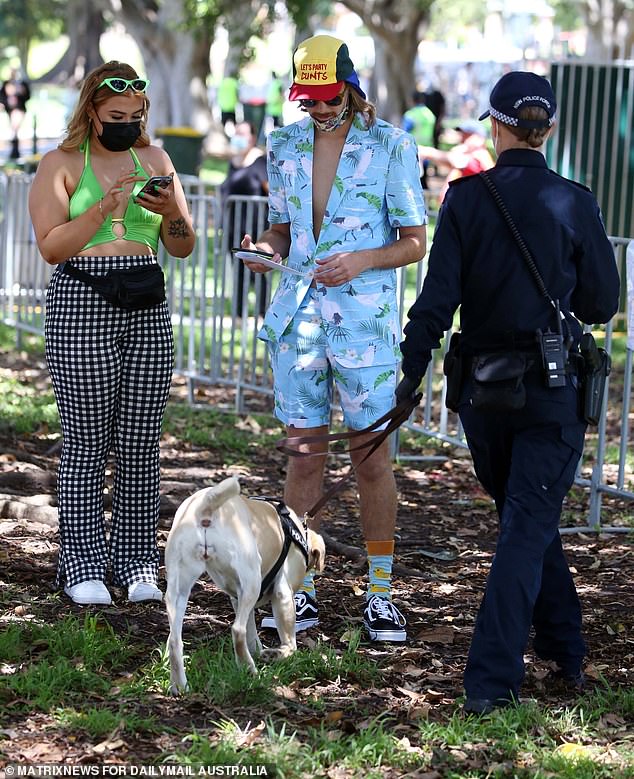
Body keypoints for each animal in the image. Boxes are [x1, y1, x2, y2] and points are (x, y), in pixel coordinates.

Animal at [163, 476, 326, 696]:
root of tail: (207, 506)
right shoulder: (282, 594)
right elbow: (289, 643)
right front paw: (278, 654)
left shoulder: (237, 596)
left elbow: (251, 630)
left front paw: (258, 650)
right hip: (252, 580)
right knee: (237, 630)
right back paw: (249, 670)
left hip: (178, 588)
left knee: (174, 640)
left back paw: (179, 685)